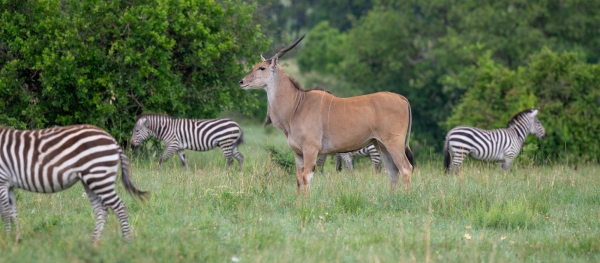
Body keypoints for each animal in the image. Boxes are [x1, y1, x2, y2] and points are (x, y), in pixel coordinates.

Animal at [0, 125, 146, 244]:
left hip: (99, 177)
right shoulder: (9, 185)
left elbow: (5, 212)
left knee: (120, 207)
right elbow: (13, 213)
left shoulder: (2, 180)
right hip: (91, 180)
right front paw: (16, 239)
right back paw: (93, 243)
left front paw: (6, 240)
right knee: (102, 210)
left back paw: (127, 241)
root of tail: (112, 139)